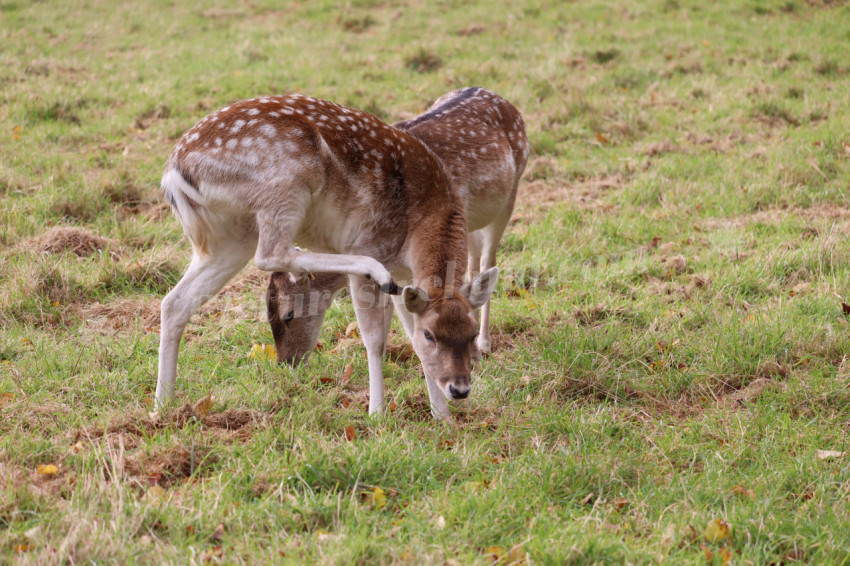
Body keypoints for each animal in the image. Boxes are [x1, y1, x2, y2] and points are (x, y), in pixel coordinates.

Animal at [155, 92, 500, 422]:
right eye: (432, 335)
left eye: (471, 334)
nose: (459, 389)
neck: (423, 220)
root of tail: (173, 172)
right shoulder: (375, 245)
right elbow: (375, 338)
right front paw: (377, 413)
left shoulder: (407, 277)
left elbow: (409, 336)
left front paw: (443, 417)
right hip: (286, 187)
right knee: (271, 254)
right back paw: (363, 269)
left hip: (229, 237)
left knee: (175, 302)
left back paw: (163, 405)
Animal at [268, 86, 528, 378]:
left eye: (288, 313)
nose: (286, 362)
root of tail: (503, 100)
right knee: (475, 262)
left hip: (510, 195)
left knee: (487, 258)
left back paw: (484, 343)